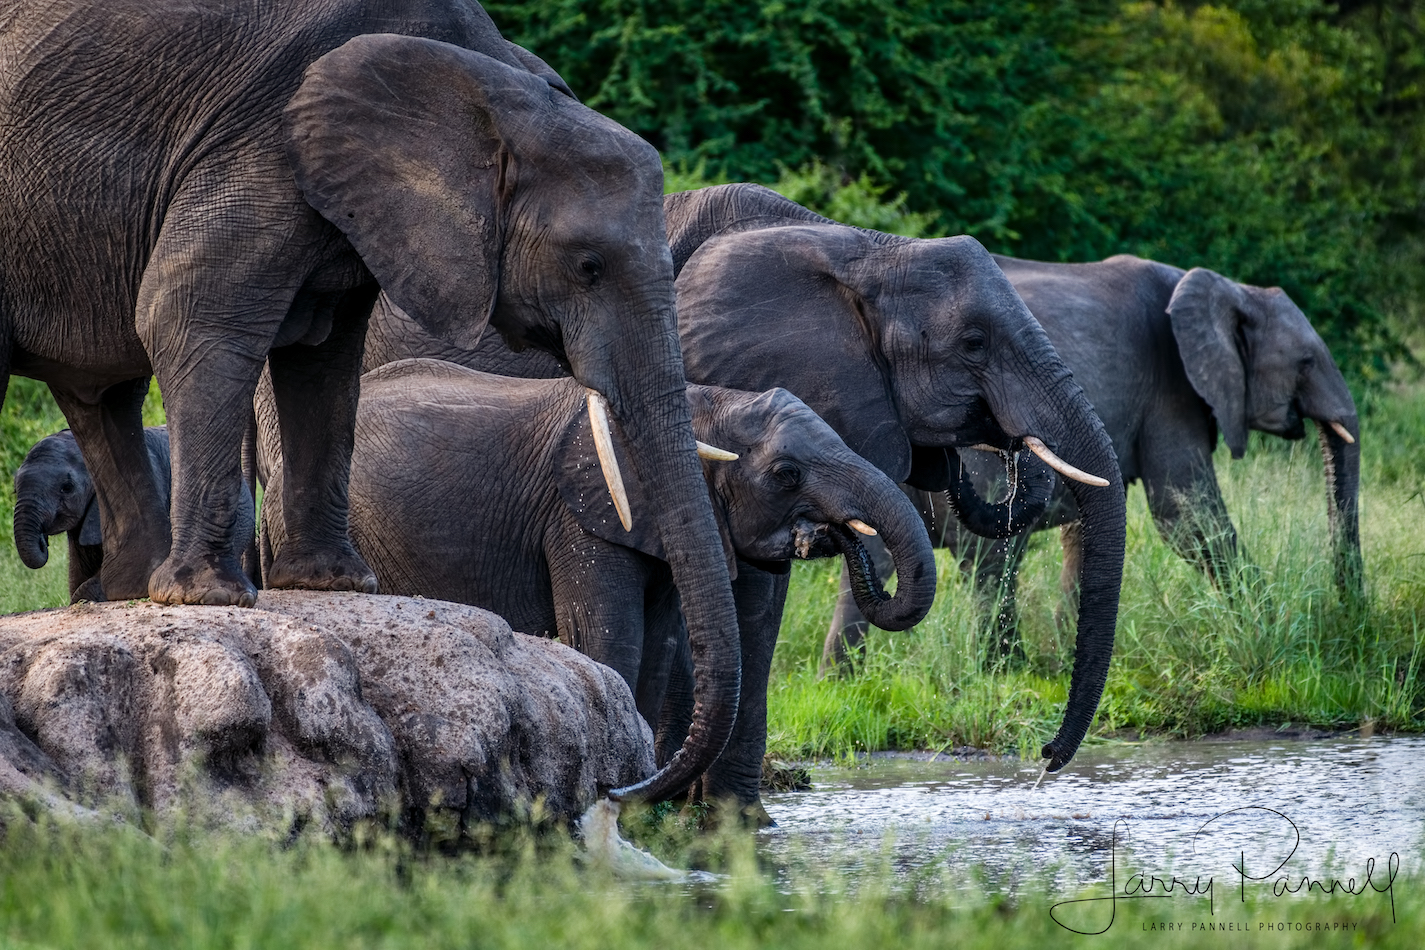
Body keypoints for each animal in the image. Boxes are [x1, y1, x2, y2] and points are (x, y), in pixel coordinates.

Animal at [258, 357, 938, 821]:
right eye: (785, 474)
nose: (830, 532)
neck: (702, 406)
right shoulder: (579, 516)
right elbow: (610, 637)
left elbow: (660, 646)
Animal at [823, 254, 1363, 668]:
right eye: (1306, 363)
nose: (1352, 613)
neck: (1230, 288)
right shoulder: (1171, 392)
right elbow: (1186, 513)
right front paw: (1270, 622)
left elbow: (1091, 526)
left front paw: (1069, 655)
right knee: (991, 557)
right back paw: (1005, 673)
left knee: (877, 561)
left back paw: (842, 682)